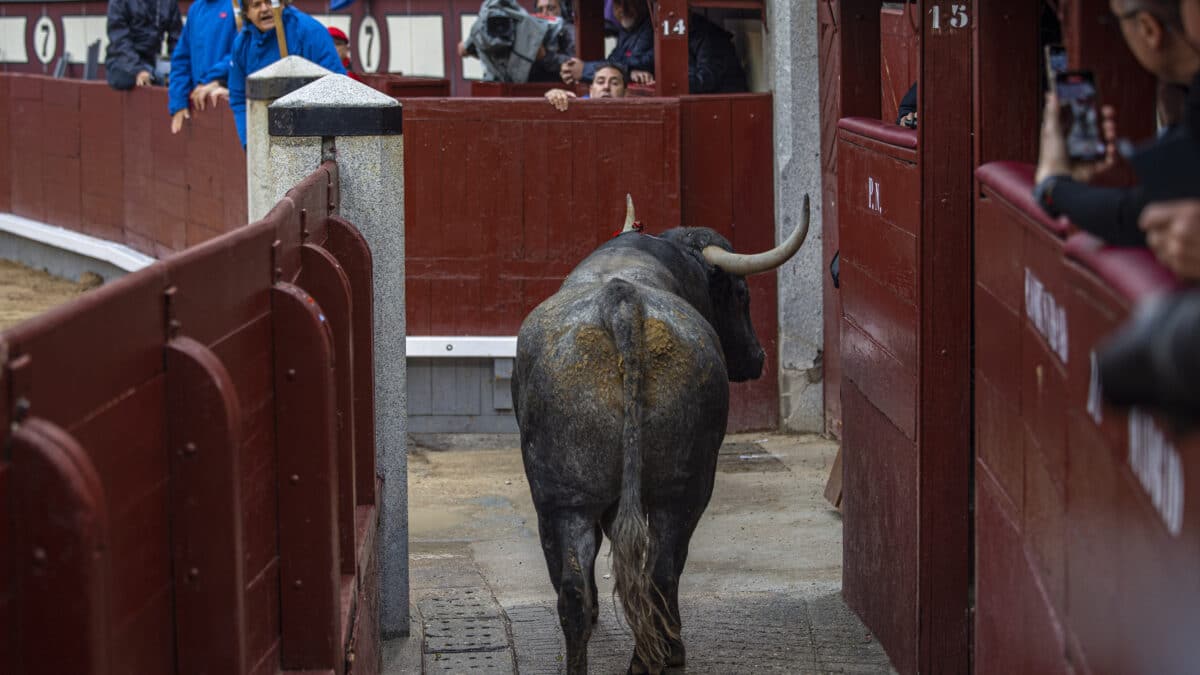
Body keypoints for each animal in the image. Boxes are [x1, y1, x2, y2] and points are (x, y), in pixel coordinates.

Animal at [511, 192, 811, 667]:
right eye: (740, 293)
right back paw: (665, 654)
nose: (758, 357)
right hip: (681, 492)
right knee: (659, 574)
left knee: (578, 589)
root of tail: (621, 303)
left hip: (562, 498)